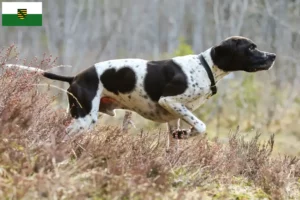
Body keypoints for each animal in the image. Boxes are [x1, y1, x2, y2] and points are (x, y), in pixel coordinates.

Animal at [4, 36, 276, 142]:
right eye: (251, 48)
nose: (273, 56)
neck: (204, 66)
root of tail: (77, 77)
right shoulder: (170, 101)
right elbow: (201, 126)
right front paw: (190, 133)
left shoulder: (173, 118)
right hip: (84, 120)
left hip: (80, 117)